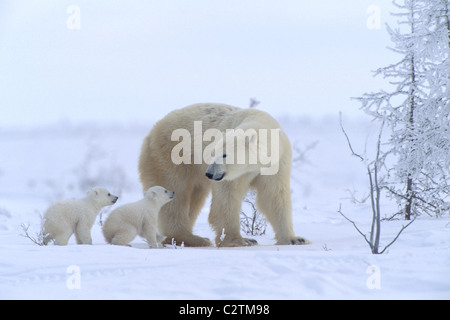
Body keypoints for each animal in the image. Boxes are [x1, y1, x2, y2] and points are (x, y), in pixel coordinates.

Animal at [139, 103, 308, 248]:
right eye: (212, 153)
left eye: (225, 154)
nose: (209, 173)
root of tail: (151, 132)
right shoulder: (235, 174)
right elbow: (228, 196)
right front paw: (241, 240)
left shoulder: (277, 163)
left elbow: (274, 195)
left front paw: (295, 239)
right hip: (172, 155)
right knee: (176, 192)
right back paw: (191, 238)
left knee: (195, 196)